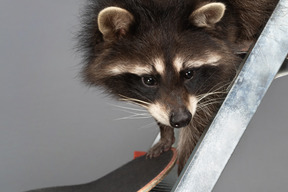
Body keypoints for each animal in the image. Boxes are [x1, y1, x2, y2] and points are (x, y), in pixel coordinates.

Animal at [77, 0, 280, 174]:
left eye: (188, 73)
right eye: (149, 80)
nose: (181, 120)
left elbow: (205, 107)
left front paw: (185, 156)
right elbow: (158, 106)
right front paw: (165, 132)